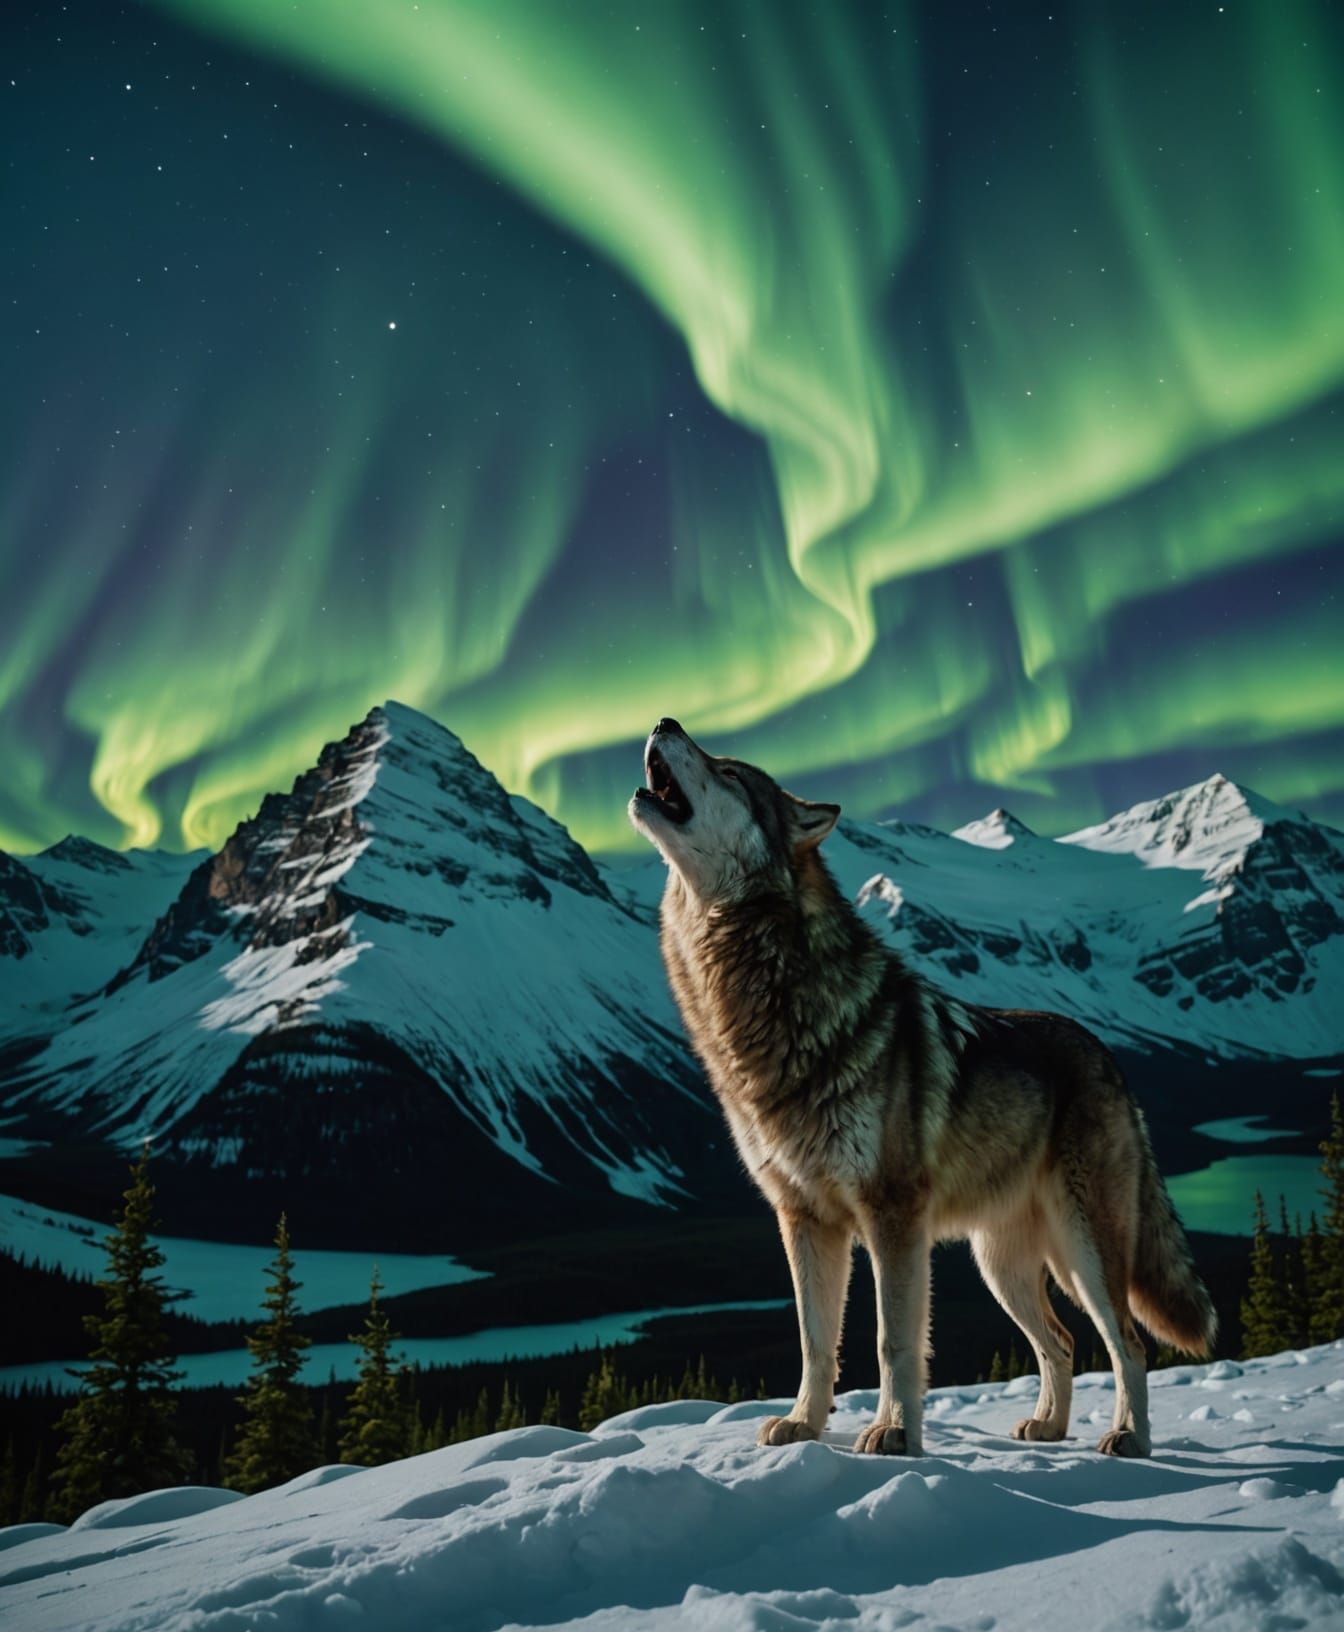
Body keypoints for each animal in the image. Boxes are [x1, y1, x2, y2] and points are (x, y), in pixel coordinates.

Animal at [629, 718, 1216, 1458]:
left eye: (730, 772)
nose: (665, 722)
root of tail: (1107, 1054)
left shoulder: (893, 1218)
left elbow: (893, 1342)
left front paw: (893, 1434)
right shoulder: (805, 1220)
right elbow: (815, 1342)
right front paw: (804, 1426)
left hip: (1085, 1253)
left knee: (1127, 1343)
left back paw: (1129, 1438)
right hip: (1002, 1265)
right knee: (1058, 1341)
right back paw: (1048, 1429)